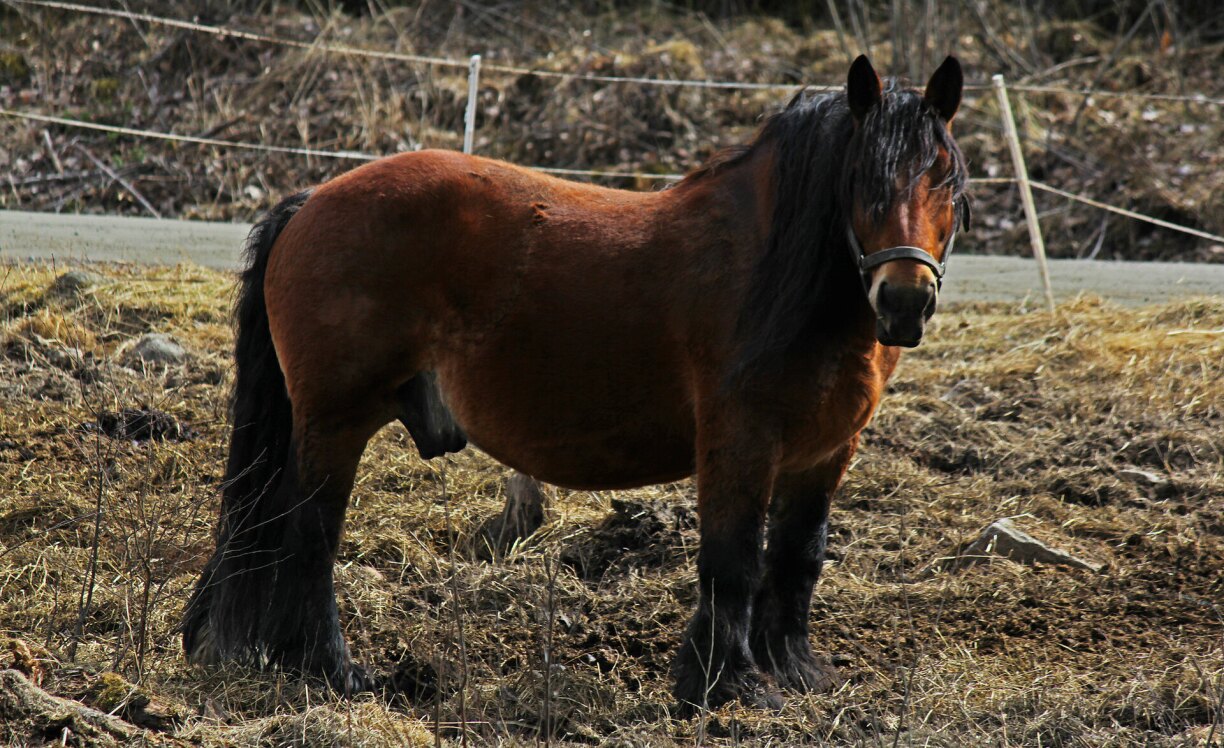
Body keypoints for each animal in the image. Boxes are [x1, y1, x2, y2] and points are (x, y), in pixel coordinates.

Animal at [183, 54, 969, 712]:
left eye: (944, 177)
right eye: (863, 180)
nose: (905, 300)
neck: (772, 273)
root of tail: (313, 198)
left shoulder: (825, 452)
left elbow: (798, 558)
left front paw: (796, 672)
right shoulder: (741, 442)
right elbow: (734, 560)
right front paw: (729, 685)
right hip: (335, 422)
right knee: (311, 538)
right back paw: (332, 671)